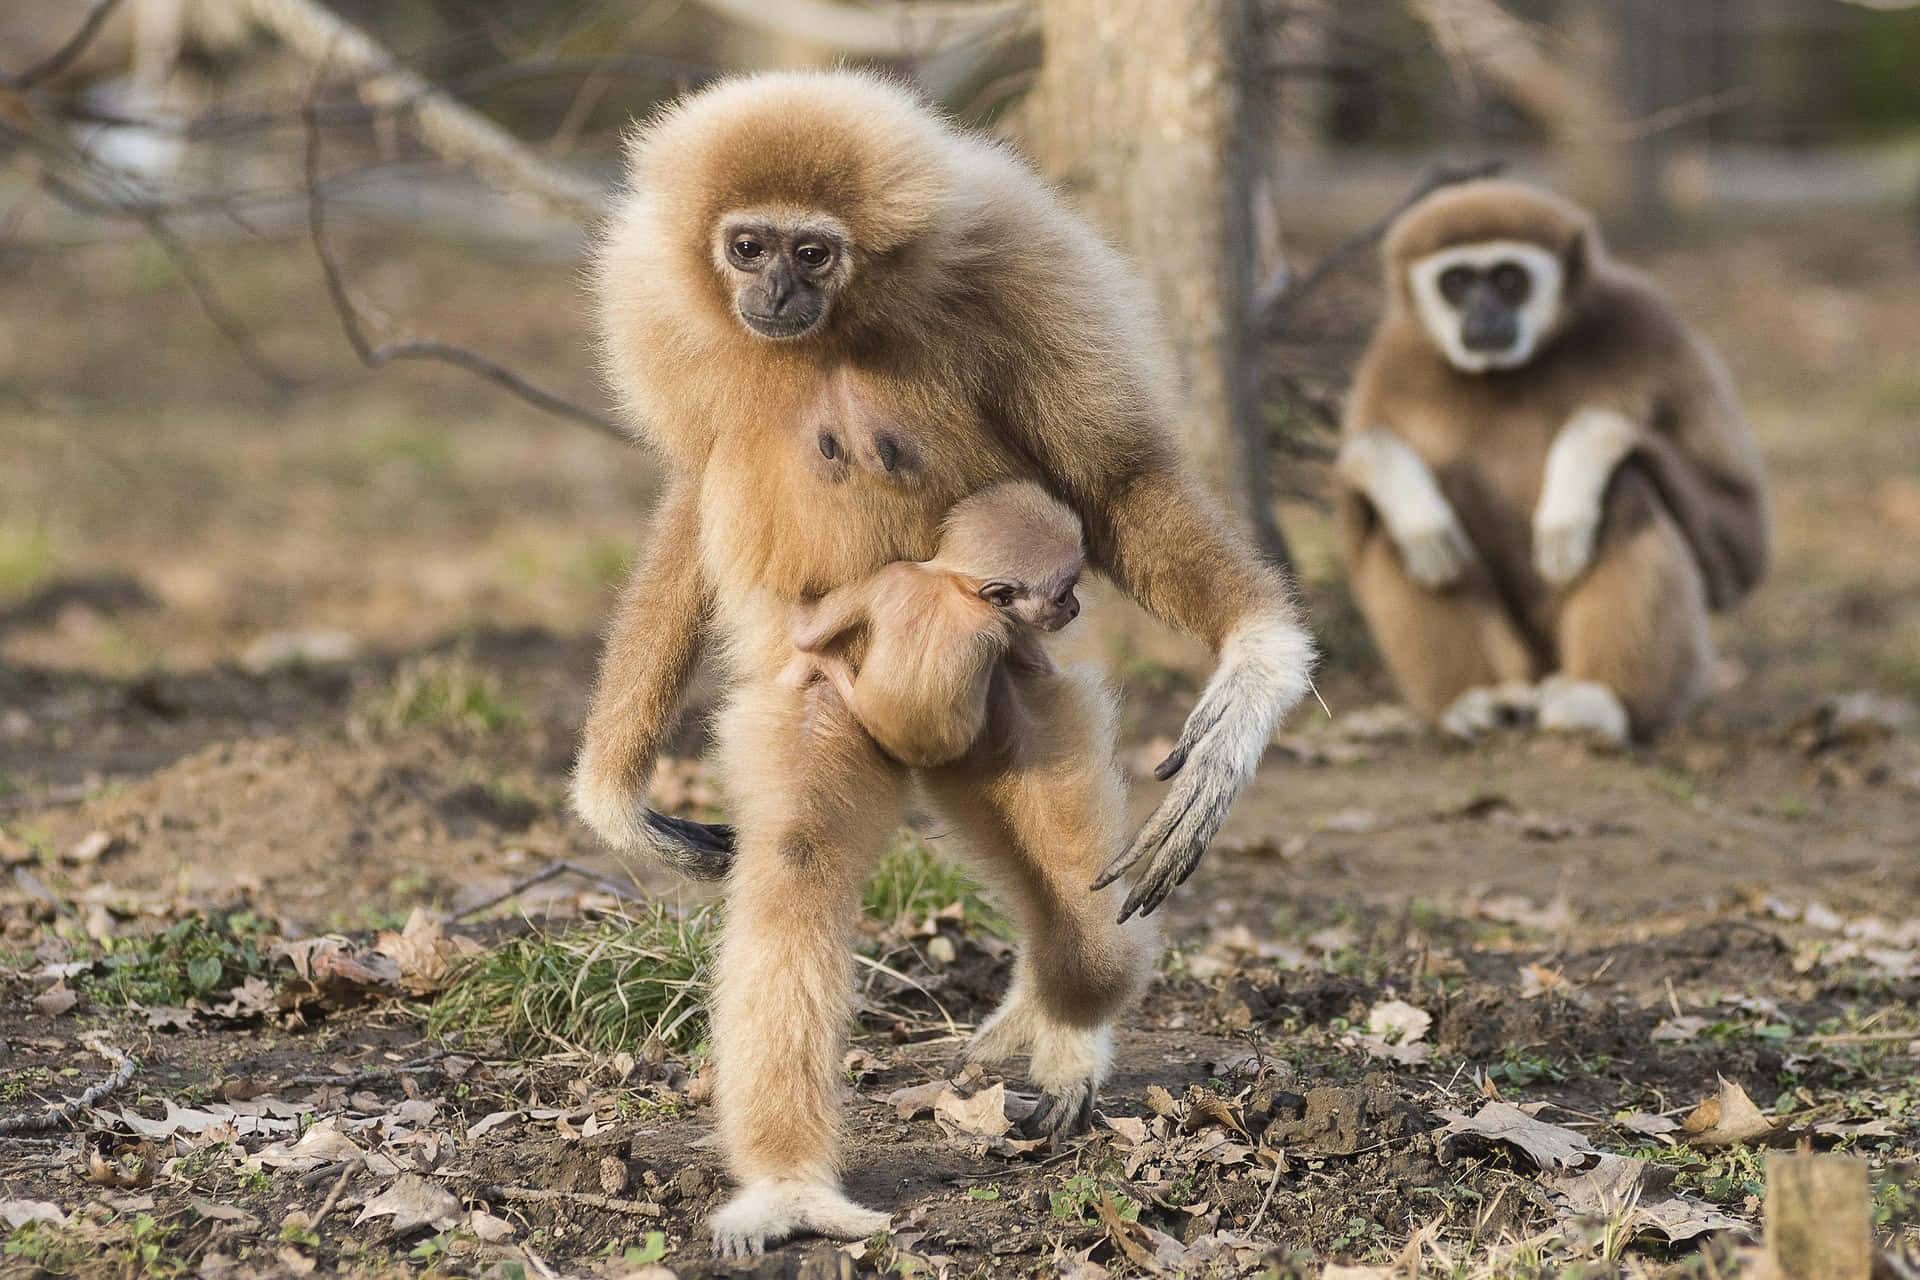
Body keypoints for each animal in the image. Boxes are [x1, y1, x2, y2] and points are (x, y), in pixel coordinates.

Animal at [781, 480, 1084, 768]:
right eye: (1062, 597)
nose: (1075, 608)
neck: (953, 582)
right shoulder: (1007, 622)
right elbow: (1040, 670)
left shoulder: (894, 573)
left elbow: (806, 637)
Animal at [1335, 178, 1769, 742]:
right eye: (1457, 283)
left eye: (1508, 278)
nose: (1484, 313)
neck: (1511, 371)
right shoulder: (1391, 359)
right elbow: (1364, 498)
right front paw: (1400, 486)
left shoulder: (1652, 325)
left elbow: (1740, 546)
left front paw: (1578, 465)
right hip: (1521, 659)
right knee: (1403, 535)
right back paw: (1478, 698)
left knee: (1627, 489)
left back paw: (1601, 701)